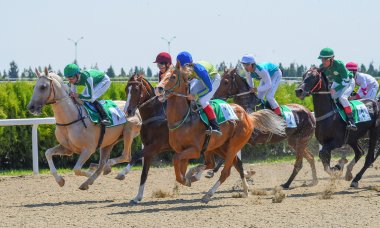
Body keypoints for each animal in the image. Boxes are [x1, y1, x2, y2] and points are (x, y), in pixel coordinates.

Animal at [154, 68, 284, 203]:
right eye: (162, 76)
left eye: (173, 77)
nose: (158, 89)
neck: (184, 119)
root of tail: (247, 116)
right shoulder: (182, 150)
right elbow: (180, 172)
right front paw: (189, 178)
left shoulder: (194, 150)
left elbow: (176, 161)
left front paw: (190, 179)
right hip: (218, 146)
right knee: (233, 164)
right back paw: (244, 189)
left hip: (234, 145)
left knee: (226, 171)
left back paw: (208, 194)